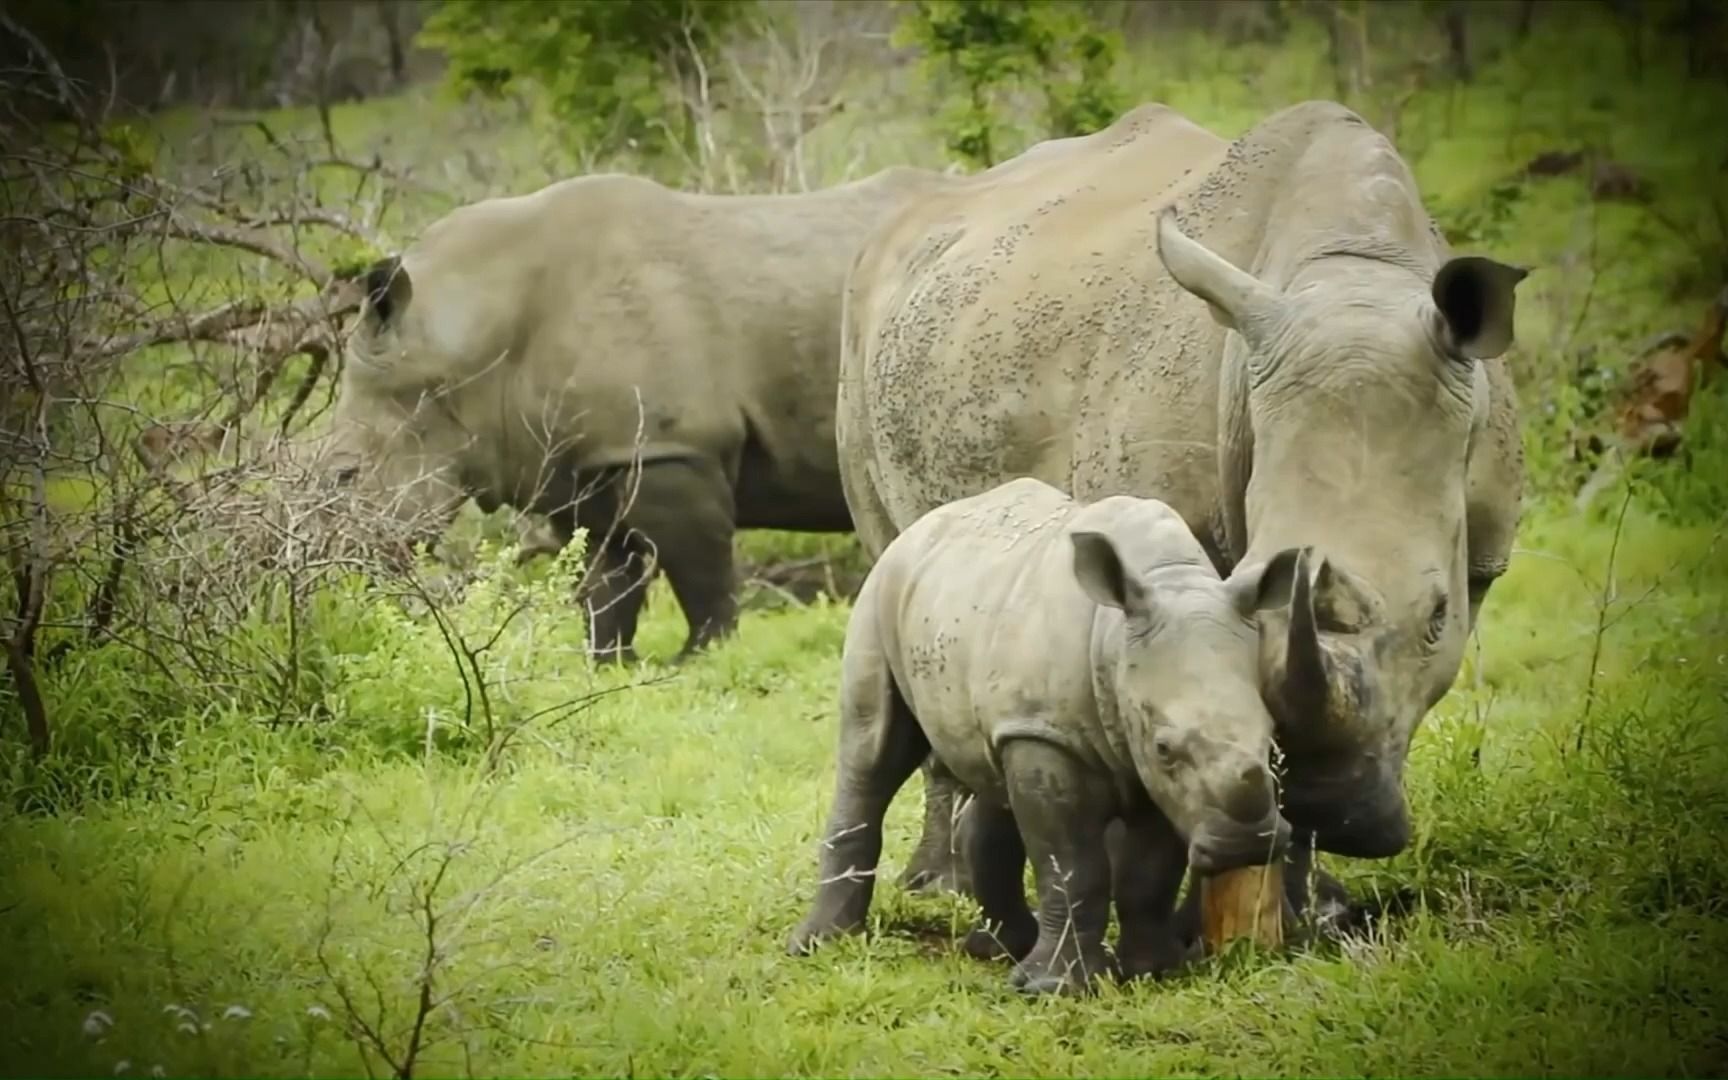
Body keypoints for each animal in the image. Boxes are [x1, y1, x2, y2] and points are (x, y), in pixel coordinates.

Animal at [784, 476, 1299, 995]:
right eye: (1165, 748)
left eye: (1271, 737)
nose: (1247, 844)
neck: (1117, 635)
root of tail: (920, 528)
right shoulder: (1050, 734)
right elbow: (1070, 863)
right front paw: (1053, 988)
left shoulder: (1133, 758)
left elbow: (1148, 872)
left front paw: (1154, 970)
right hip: (880, 595)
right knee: (871, 755)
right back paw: (818, 944)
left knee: (991, 777)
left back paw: (996, 949)